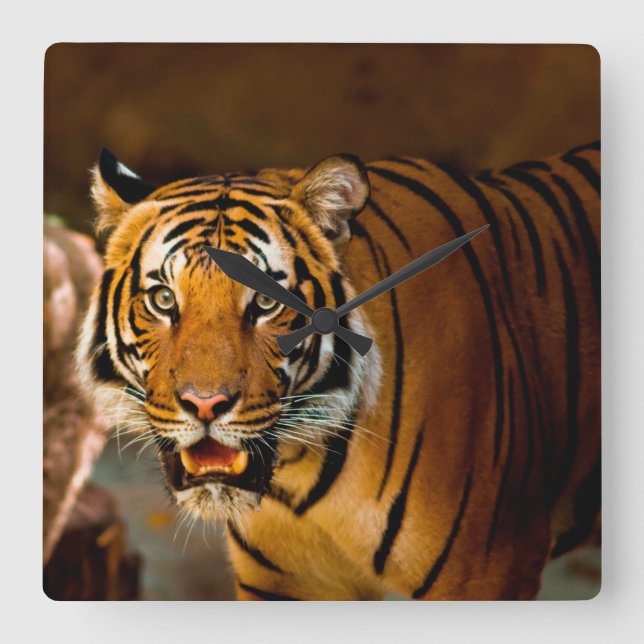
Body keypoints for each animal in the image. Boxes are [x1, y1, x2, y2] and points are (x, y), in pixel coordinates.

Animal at [76, 142, 600, 600]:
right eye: (164, 299)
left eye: (265, 301)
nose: (205, 404)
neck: (301, 472)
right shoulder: (286, 584)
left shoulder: (486, 572)